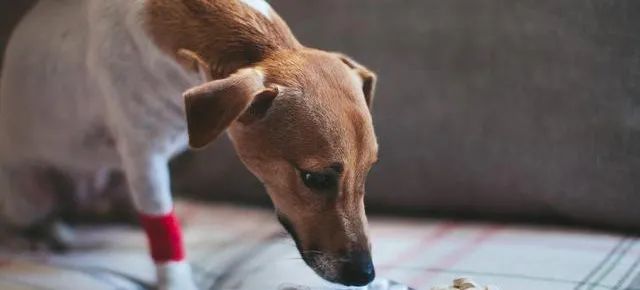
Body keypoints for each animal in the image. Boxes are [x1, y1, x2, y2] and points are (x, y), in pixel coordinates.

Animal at [0, 0, 380, 288]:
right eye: (314, 178)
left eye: (368, 171)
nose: (366, 275)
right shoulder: (144, 158)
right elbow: (163, 231)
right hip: (31, 193)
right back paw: (44, 234)